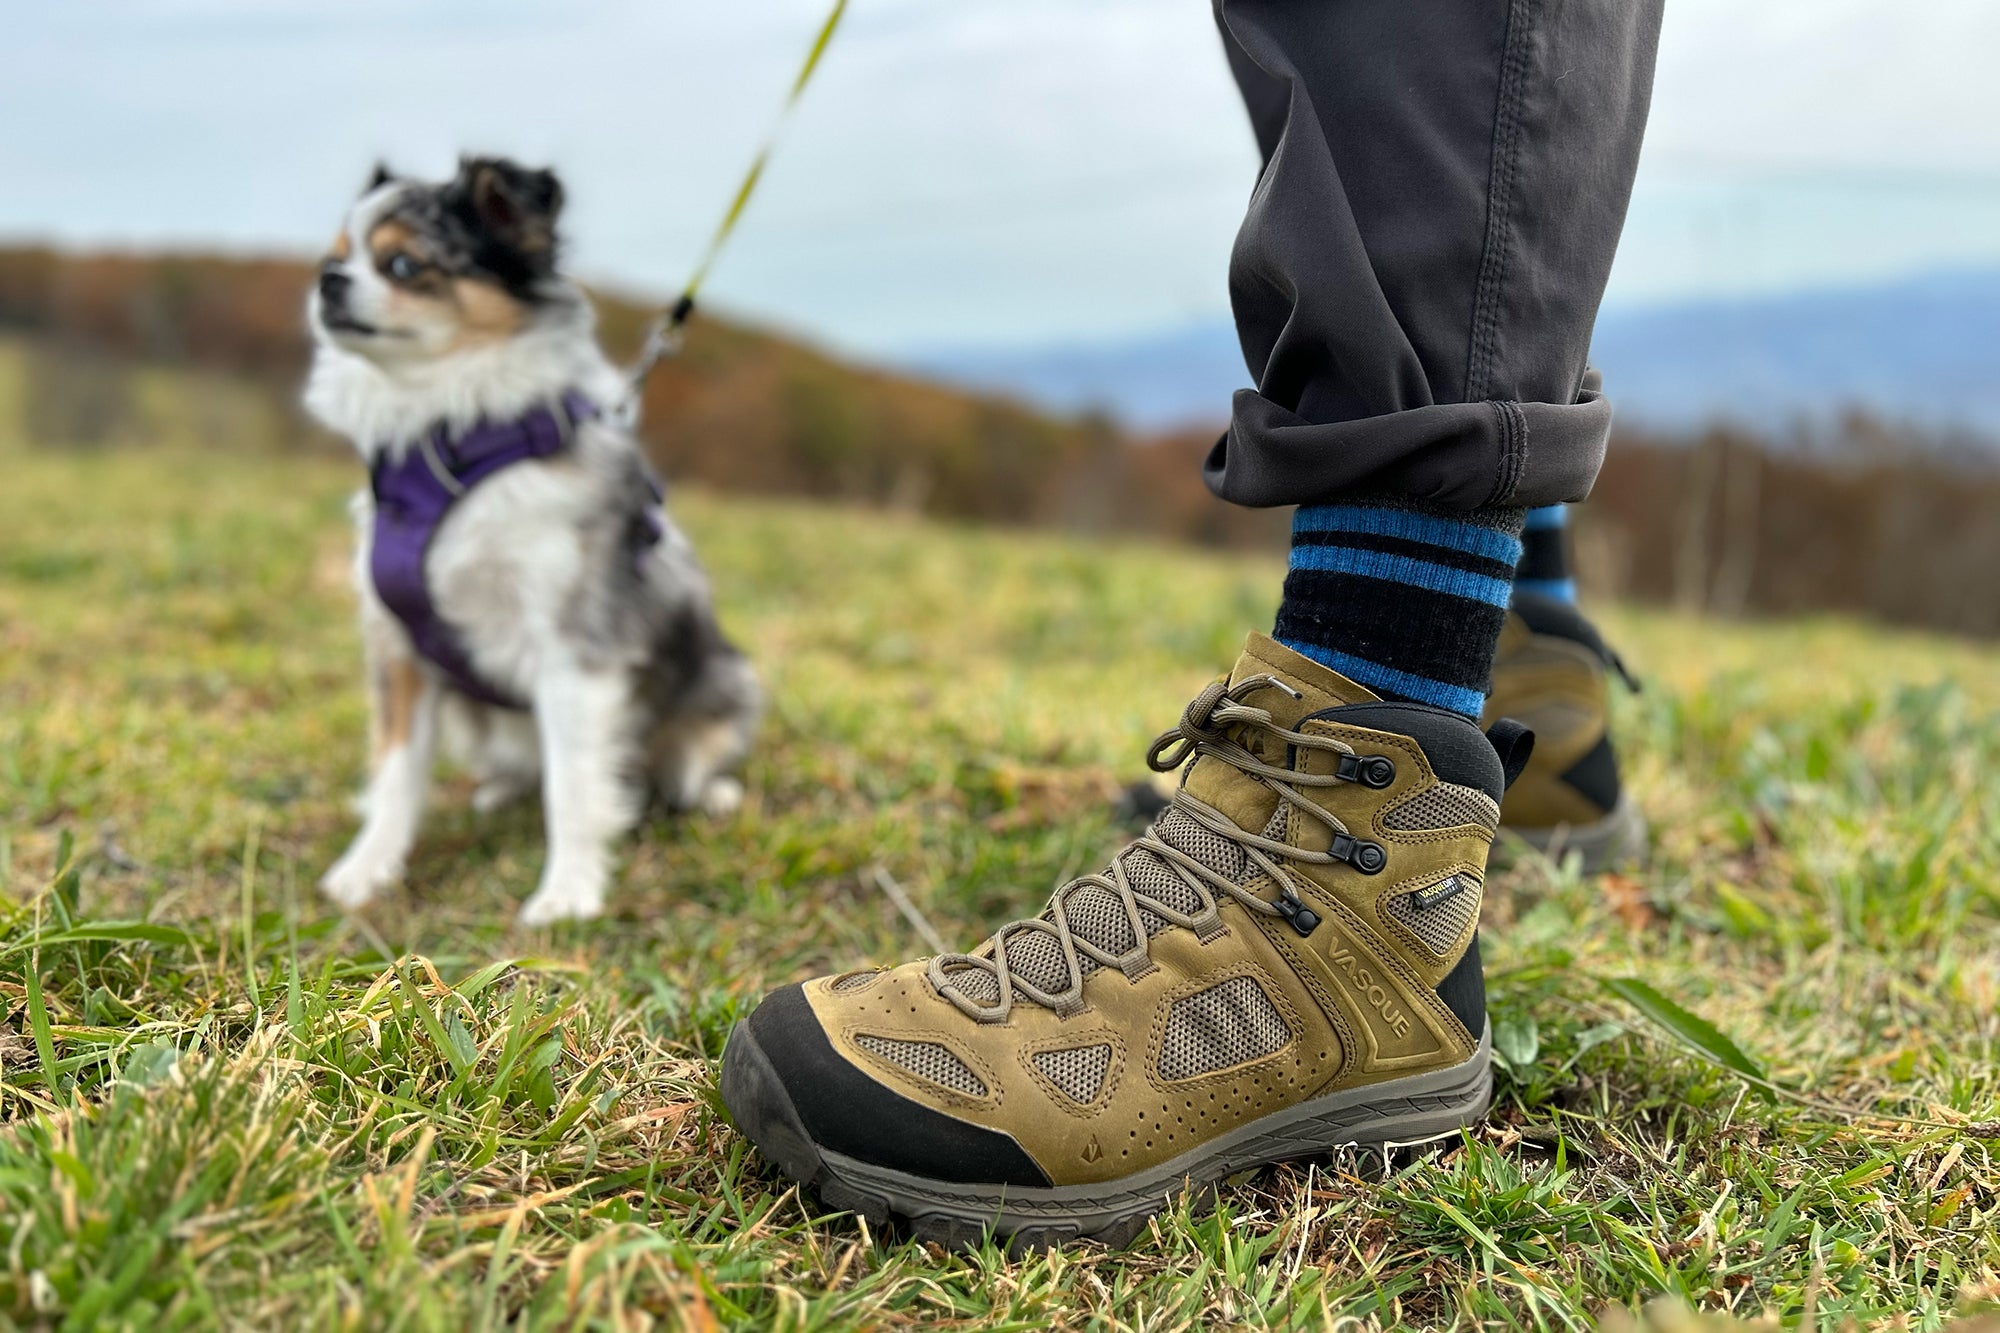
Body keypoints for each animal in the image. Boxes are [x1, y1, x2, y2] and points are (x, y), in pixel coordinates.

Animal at [302, 156, 756, 924]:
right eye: (335, 257)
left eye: (403, 264)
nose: (328, 281)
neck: (450, 444)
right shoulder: (400, 649)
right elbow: (396, 773)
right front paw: (368, 869)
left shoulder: (574, 649)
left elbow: (571, 786)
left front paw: (567, 892)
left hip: (728, 680)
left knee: (681, 766)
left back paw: (712, 792)